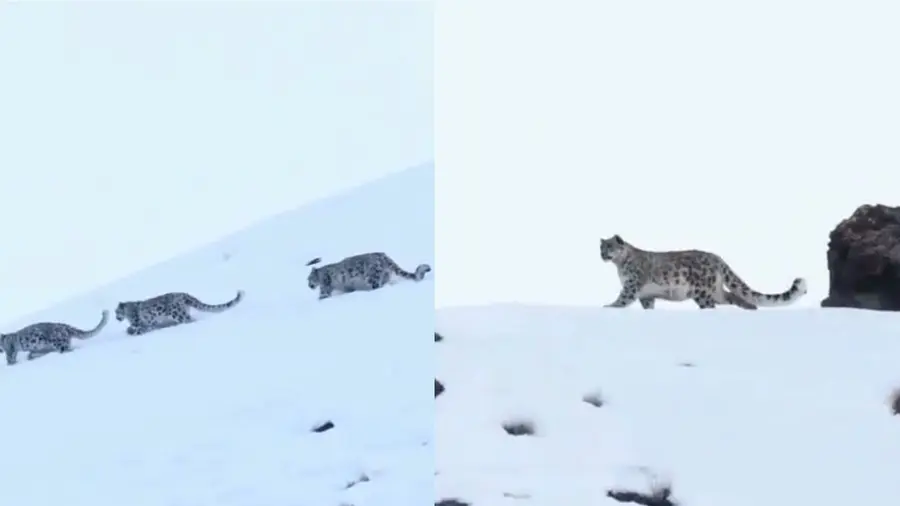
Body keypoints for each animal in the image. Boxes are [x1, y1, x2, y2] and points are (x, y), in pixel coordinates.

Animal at [115, 290, 244, 336]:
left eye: (116, 312)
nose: (116, 318)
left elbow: (138, 328)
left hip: (177, 313)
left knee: (190, 320)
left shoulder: (141, 323)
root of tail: (184, 294)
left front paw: (131, 331)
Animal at [599, 234, 808, 310]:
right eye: (601, 247)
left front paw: (609, 307)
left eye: (610, 247)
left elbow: (622, 298)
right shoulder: (646, 295)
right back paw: (750, 308)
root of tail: (716, 258)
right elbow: (647, 305)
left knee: (713, 304)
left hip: (702, 292)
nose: (602, 254)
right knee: (734, 296)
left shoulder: (632, 285)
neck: (619, 266)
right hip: (715, 291)